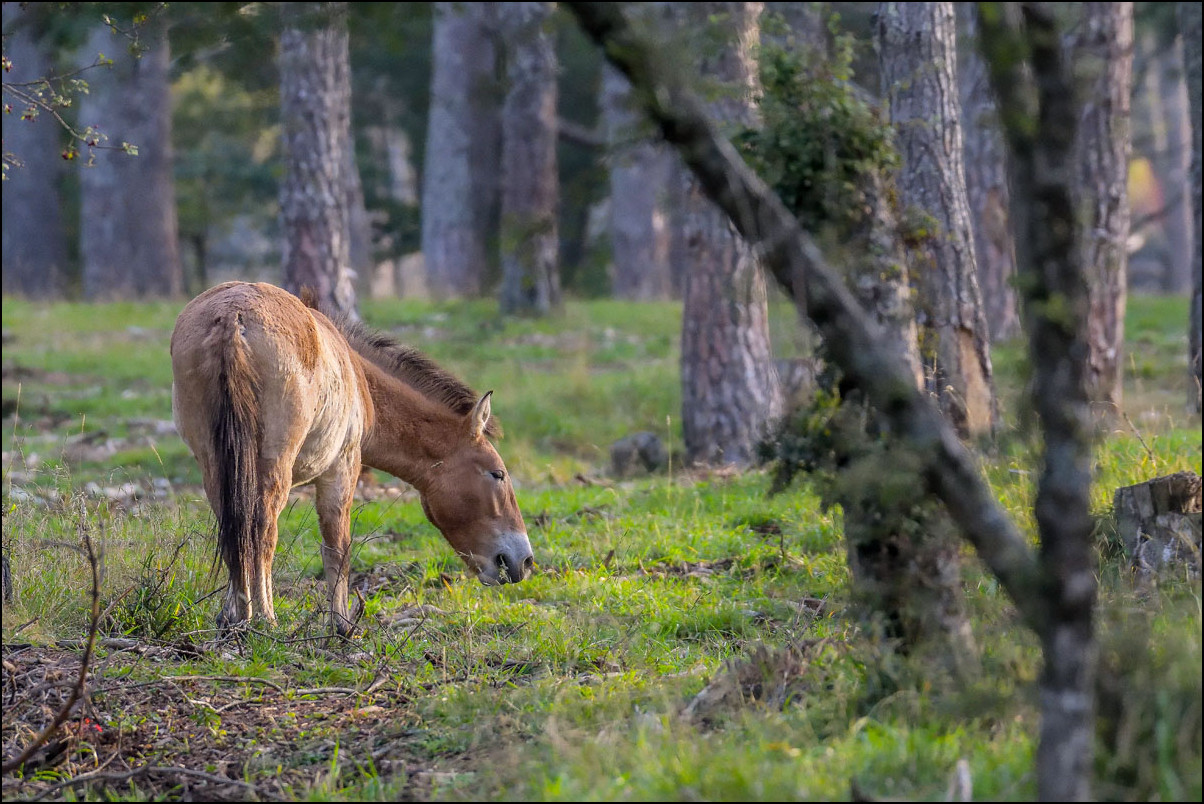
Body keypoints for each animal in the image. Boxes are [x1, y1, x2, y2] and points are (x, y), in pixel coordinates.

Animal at [169, 282, 532, 635]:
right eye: (498, 474)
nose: (523, 561)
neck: (360, 380)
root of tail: (234, 316)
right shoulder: (342, 468)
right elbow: (338, 547)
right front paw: (341, 624)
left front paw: (228, 617)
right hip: (274, 467)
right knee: (261, 529)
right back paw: (263, 618)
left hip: (216, 464)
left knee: (234, 527)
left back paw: (236, 618)